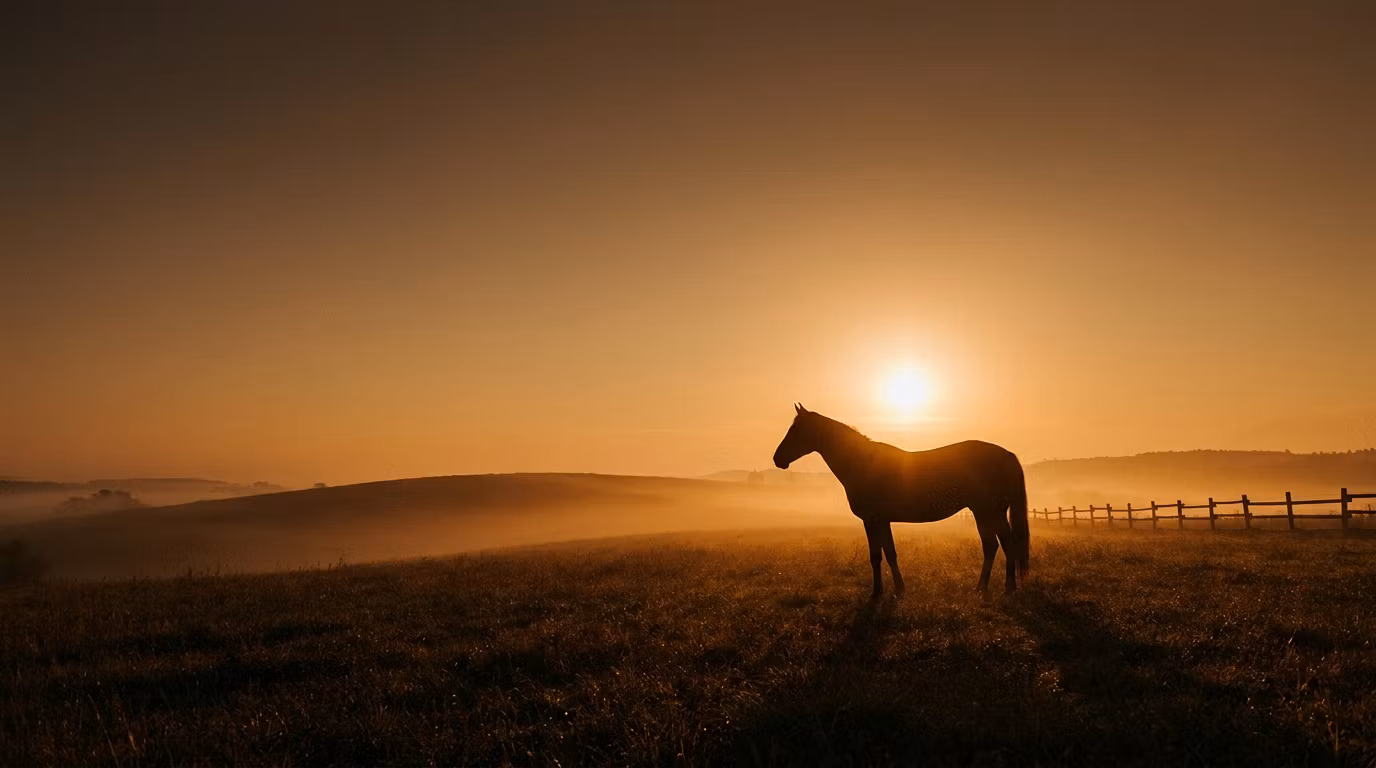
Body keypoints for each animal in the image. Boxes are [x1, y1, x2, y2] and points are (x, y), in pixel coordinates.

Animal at [772, 403, 1029, 596]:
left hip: (986, 511)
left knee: (1001, 544)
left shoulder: (873, 520)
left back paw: (1001, 587)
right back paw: (992, 587)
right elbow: (885, 555)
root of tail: (1007, 455)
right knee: (998, 545)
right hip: (988, 512)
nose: (777, 459)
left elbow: (880, 555)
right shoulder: (879, 521)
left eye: (797, 430)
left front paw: (882, 593)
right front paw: (893, 590)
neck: (863, 464)